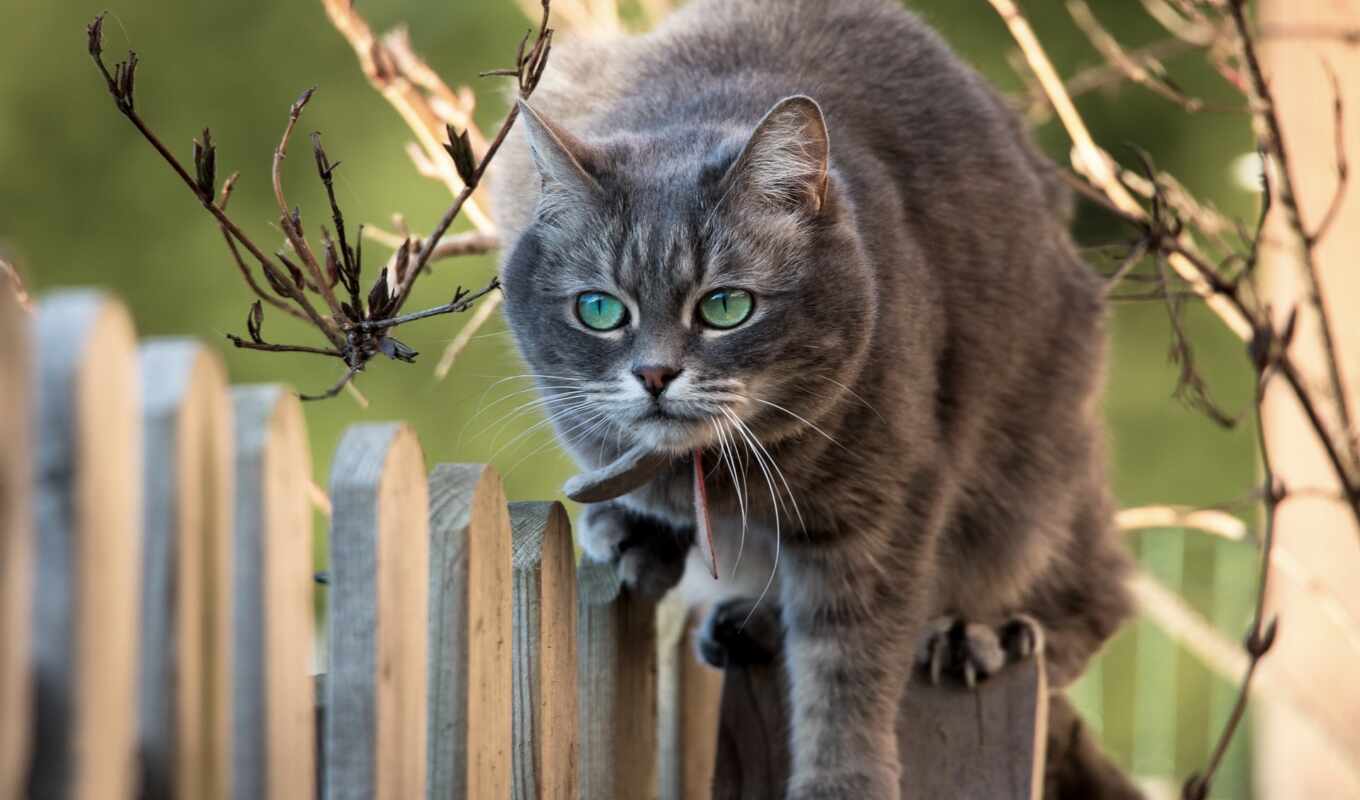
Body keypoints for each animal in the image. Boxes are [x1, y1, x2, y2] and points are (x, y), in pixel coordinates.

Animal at [495, 1, 1142, 794]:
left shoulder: (881, 511)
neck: (722, 478)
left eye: (726, 307)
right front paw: (630, 526)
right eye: (599, 310)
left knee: (1093, 591)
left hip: (1034, 469)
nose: (654, 375)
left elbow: (847, 665)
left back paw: (983, 634)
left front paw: (843, 779)